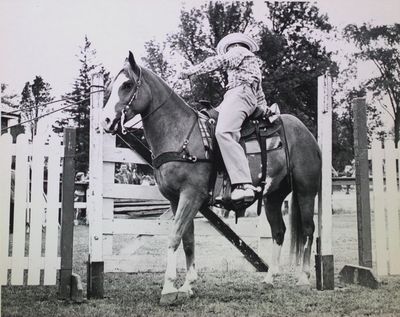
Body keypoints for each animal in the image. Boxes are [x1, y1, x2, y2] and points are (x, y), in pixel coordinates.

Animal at [102, 51, 322, 304]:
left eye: (127, 85)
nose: (105, 121)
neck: (182, 134)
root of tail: (306, 132)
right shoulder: (176, 199)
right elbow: (187, 240)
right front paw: (187, 285)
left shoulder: (191, 195)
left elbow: (174, 236)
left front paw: (168, 288)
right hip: (273, 196)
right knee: (279, 231)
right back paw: (269, 278)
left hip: (306, 191)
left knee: (308, 229)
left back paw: (304, 278)